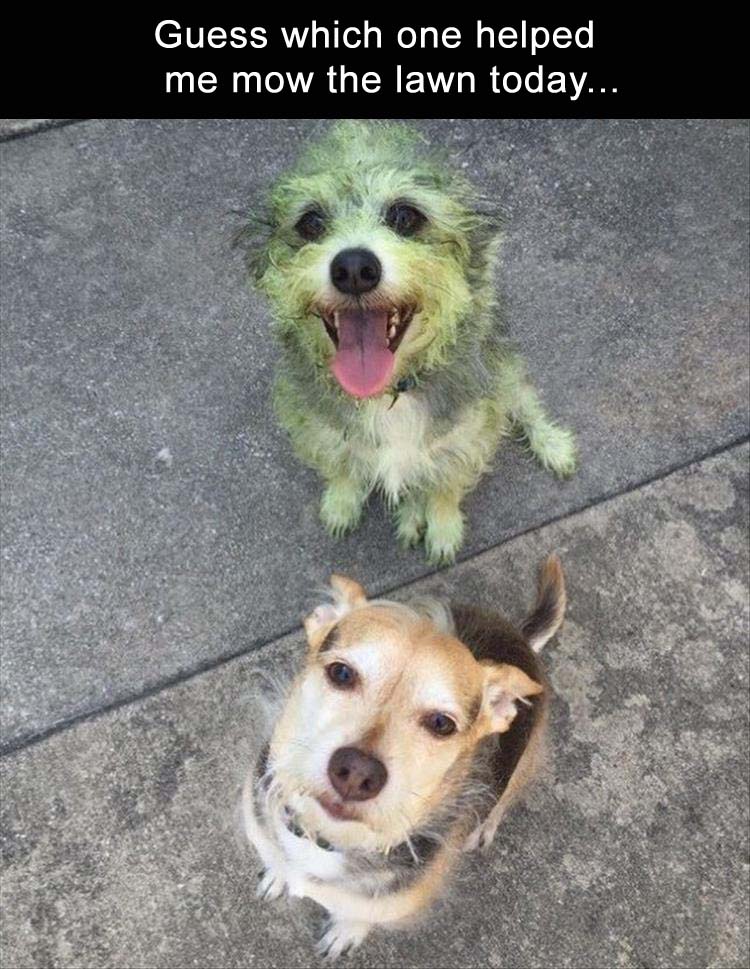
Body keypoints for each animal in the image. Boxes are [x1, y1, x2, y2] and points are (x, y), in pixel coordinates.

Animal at [241, 122, 576, 564]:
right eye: (311, 222)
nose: (354, 268)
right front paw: (342, 504)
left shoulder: (466, 436)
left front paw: (443, 529)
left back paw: (552, 444)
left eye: (404, 216)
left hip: (502, 371)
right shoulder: (317, 427)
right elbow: (342, 469)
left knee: (525, 403)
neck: (388, 395)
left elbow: (445, 486)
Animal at [244, 556, 568, 956]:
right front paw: (277, 872)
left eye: (442, 724)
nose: (357, 773)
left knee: (503, 799)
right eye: (341, 672)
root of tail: (520, 639)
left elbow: (361, 914)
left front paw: (347, 930)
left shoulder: (387, 904)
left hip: (524, 761)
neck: (327, 839)